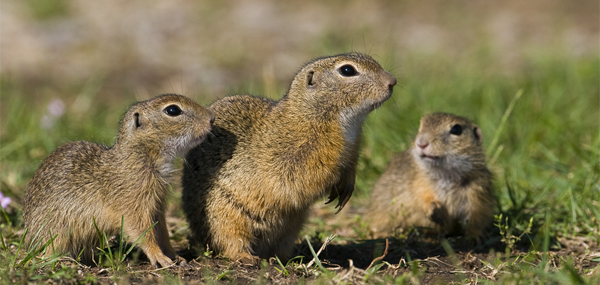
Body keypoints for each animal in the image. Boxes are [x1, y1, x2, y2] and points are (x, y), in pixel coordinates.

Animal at [24, 94, 216, 268]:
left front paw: (175, 256)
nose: (212, 118)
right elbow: (143, 232)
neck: (142, 154)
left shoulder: (157, 207)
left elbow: (162, 233)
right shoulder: (133, 206)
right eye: (173, 110)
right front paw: (159, 257)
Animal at [183, 52, 398, 260]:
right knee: (229, 243)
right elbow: (308, 179)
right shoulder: (296, 158)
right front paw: (335, 181)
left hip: (292, 227)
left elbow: (350, 168)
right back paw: (247, 257)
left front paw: (347, 187)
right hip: (225, 217)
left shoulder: (354, 150)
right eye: (347, 70)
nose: (392, 81)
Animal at [366, 112, 496, 236]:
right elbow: (422, 197)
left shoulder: (478, 191)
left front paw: (474, 237)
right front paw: (433, 209)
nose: (421, 143)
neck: (446, 174)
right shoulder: (419, 183)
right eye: (421, 126)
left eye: (456, 129)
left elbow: (476, 218)